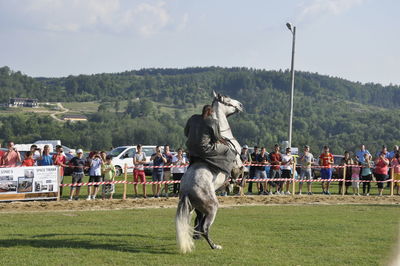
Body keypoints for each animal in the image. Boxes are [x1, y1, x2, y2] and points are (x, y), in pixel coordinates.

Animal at [176, 91, 244, 254]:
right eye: (227, 100)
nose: (240, 105)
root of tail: (187, 189)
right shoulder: (238, 162)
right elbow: (240, 170)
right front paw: (235, 183)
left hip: (193, 207)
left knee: (197, 222)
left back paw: (195, 237)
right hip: (212, 207)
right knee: (205, 228)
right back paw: (214, 245)